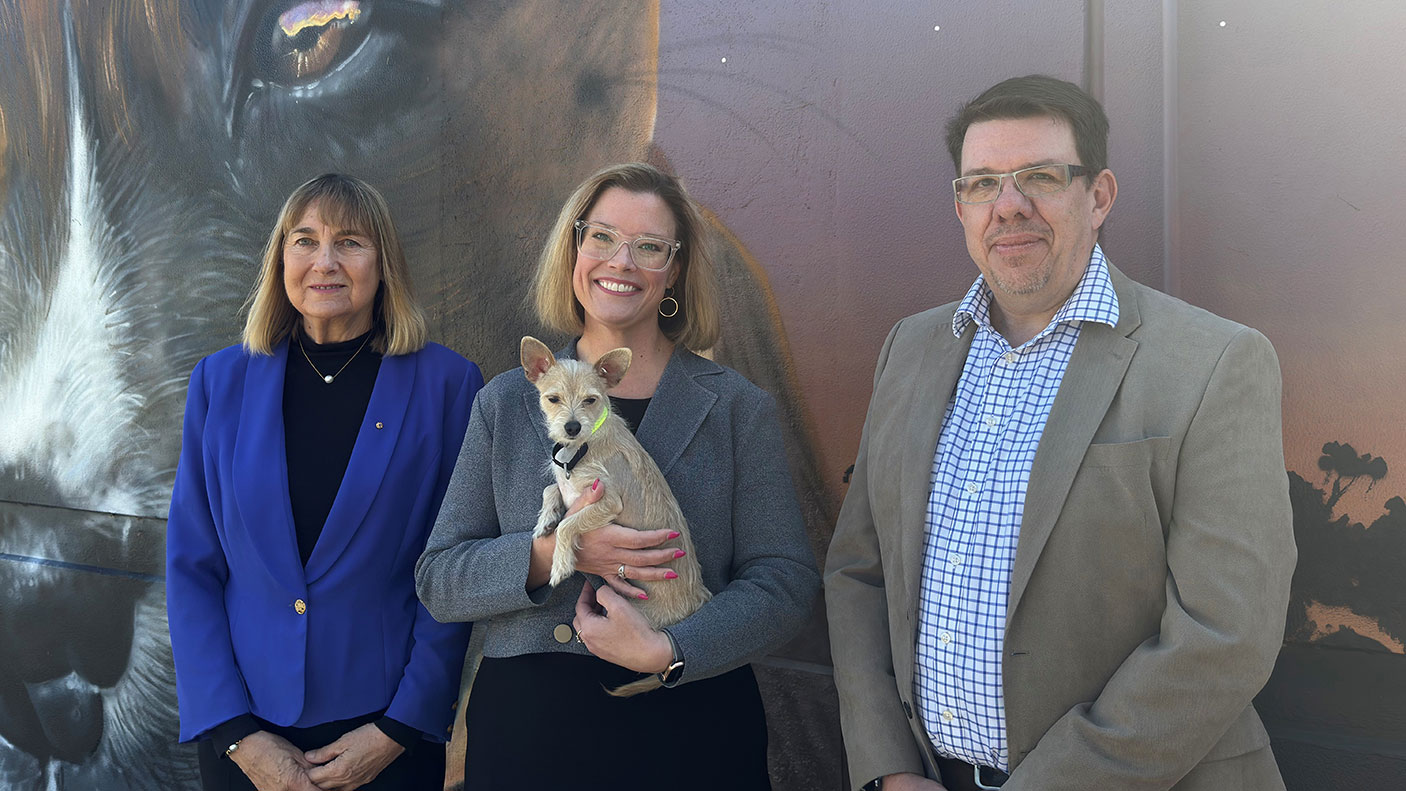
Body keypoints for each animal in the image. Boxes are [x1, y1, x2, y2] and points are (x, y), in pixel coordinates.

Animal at [523, 337, 708, 696]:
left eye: (590, 400)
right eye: (553, 399)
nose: (571, 426)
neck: (580, 448)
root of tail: (697, 604)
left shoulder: (608, 503)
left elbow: (569, 525)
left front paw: (561, 562)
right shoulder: (570, 488)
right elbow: (551, 489)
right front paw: (545, 520)